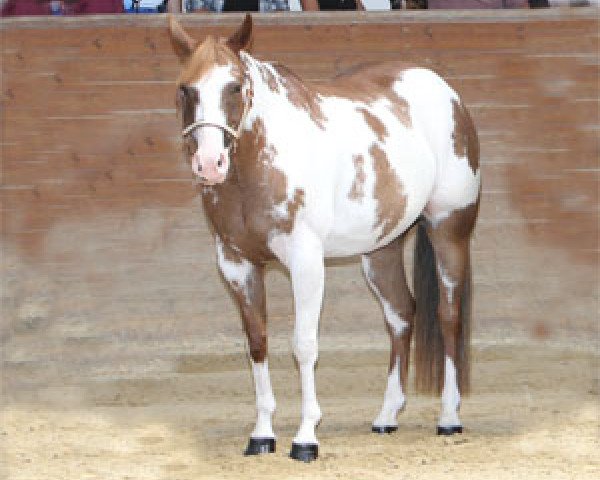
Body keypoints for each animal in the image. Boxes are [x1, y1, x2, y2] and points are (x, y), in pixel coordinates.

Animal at [166, 15, 480, 464]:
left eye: (236, 86)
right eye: (185, 88)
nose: (210, 164)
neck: (257, 170)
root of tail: (444, 90)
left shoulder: (305, 262)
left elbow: (304, 345)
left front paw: (305, 437)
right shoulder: (237, 263)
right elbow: (257, 343)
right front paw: (262, 434)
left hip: (450, 231)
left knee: (448, 317)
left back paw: (449, 417)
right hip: (380, 249)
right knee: (401, 315)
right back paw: (387, 416)